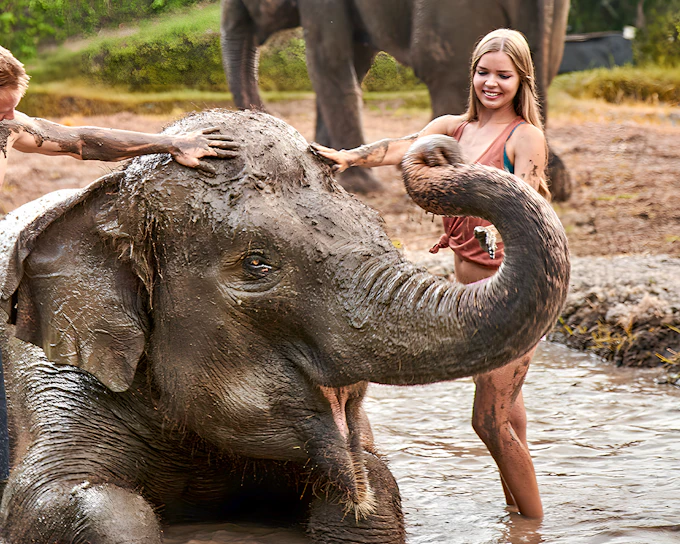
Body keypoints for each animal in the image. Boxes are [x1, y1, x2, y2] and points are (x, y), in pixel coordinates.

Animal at [0, 110, 570, 543]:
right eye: (256, 264)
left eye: (377, 228)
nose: (438, 151)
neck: (106, 196)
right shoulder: (49, 376)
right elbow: (62, 502)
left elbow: (375, 484)